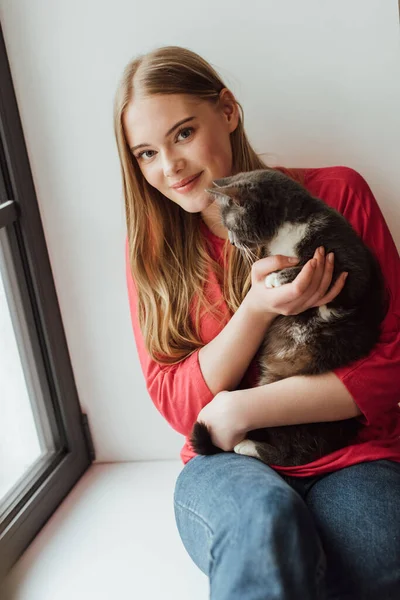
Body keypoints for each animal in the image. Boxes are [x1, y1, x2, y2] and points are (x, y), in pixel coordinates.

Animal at [191, 166, 388, 466]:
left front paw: (278, 277)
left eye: (232, 226)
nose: (234, 243)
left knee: (289, 454)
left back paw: (246, 445)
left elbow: (316, 268)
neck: (286, 233)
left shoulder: (351, 267)